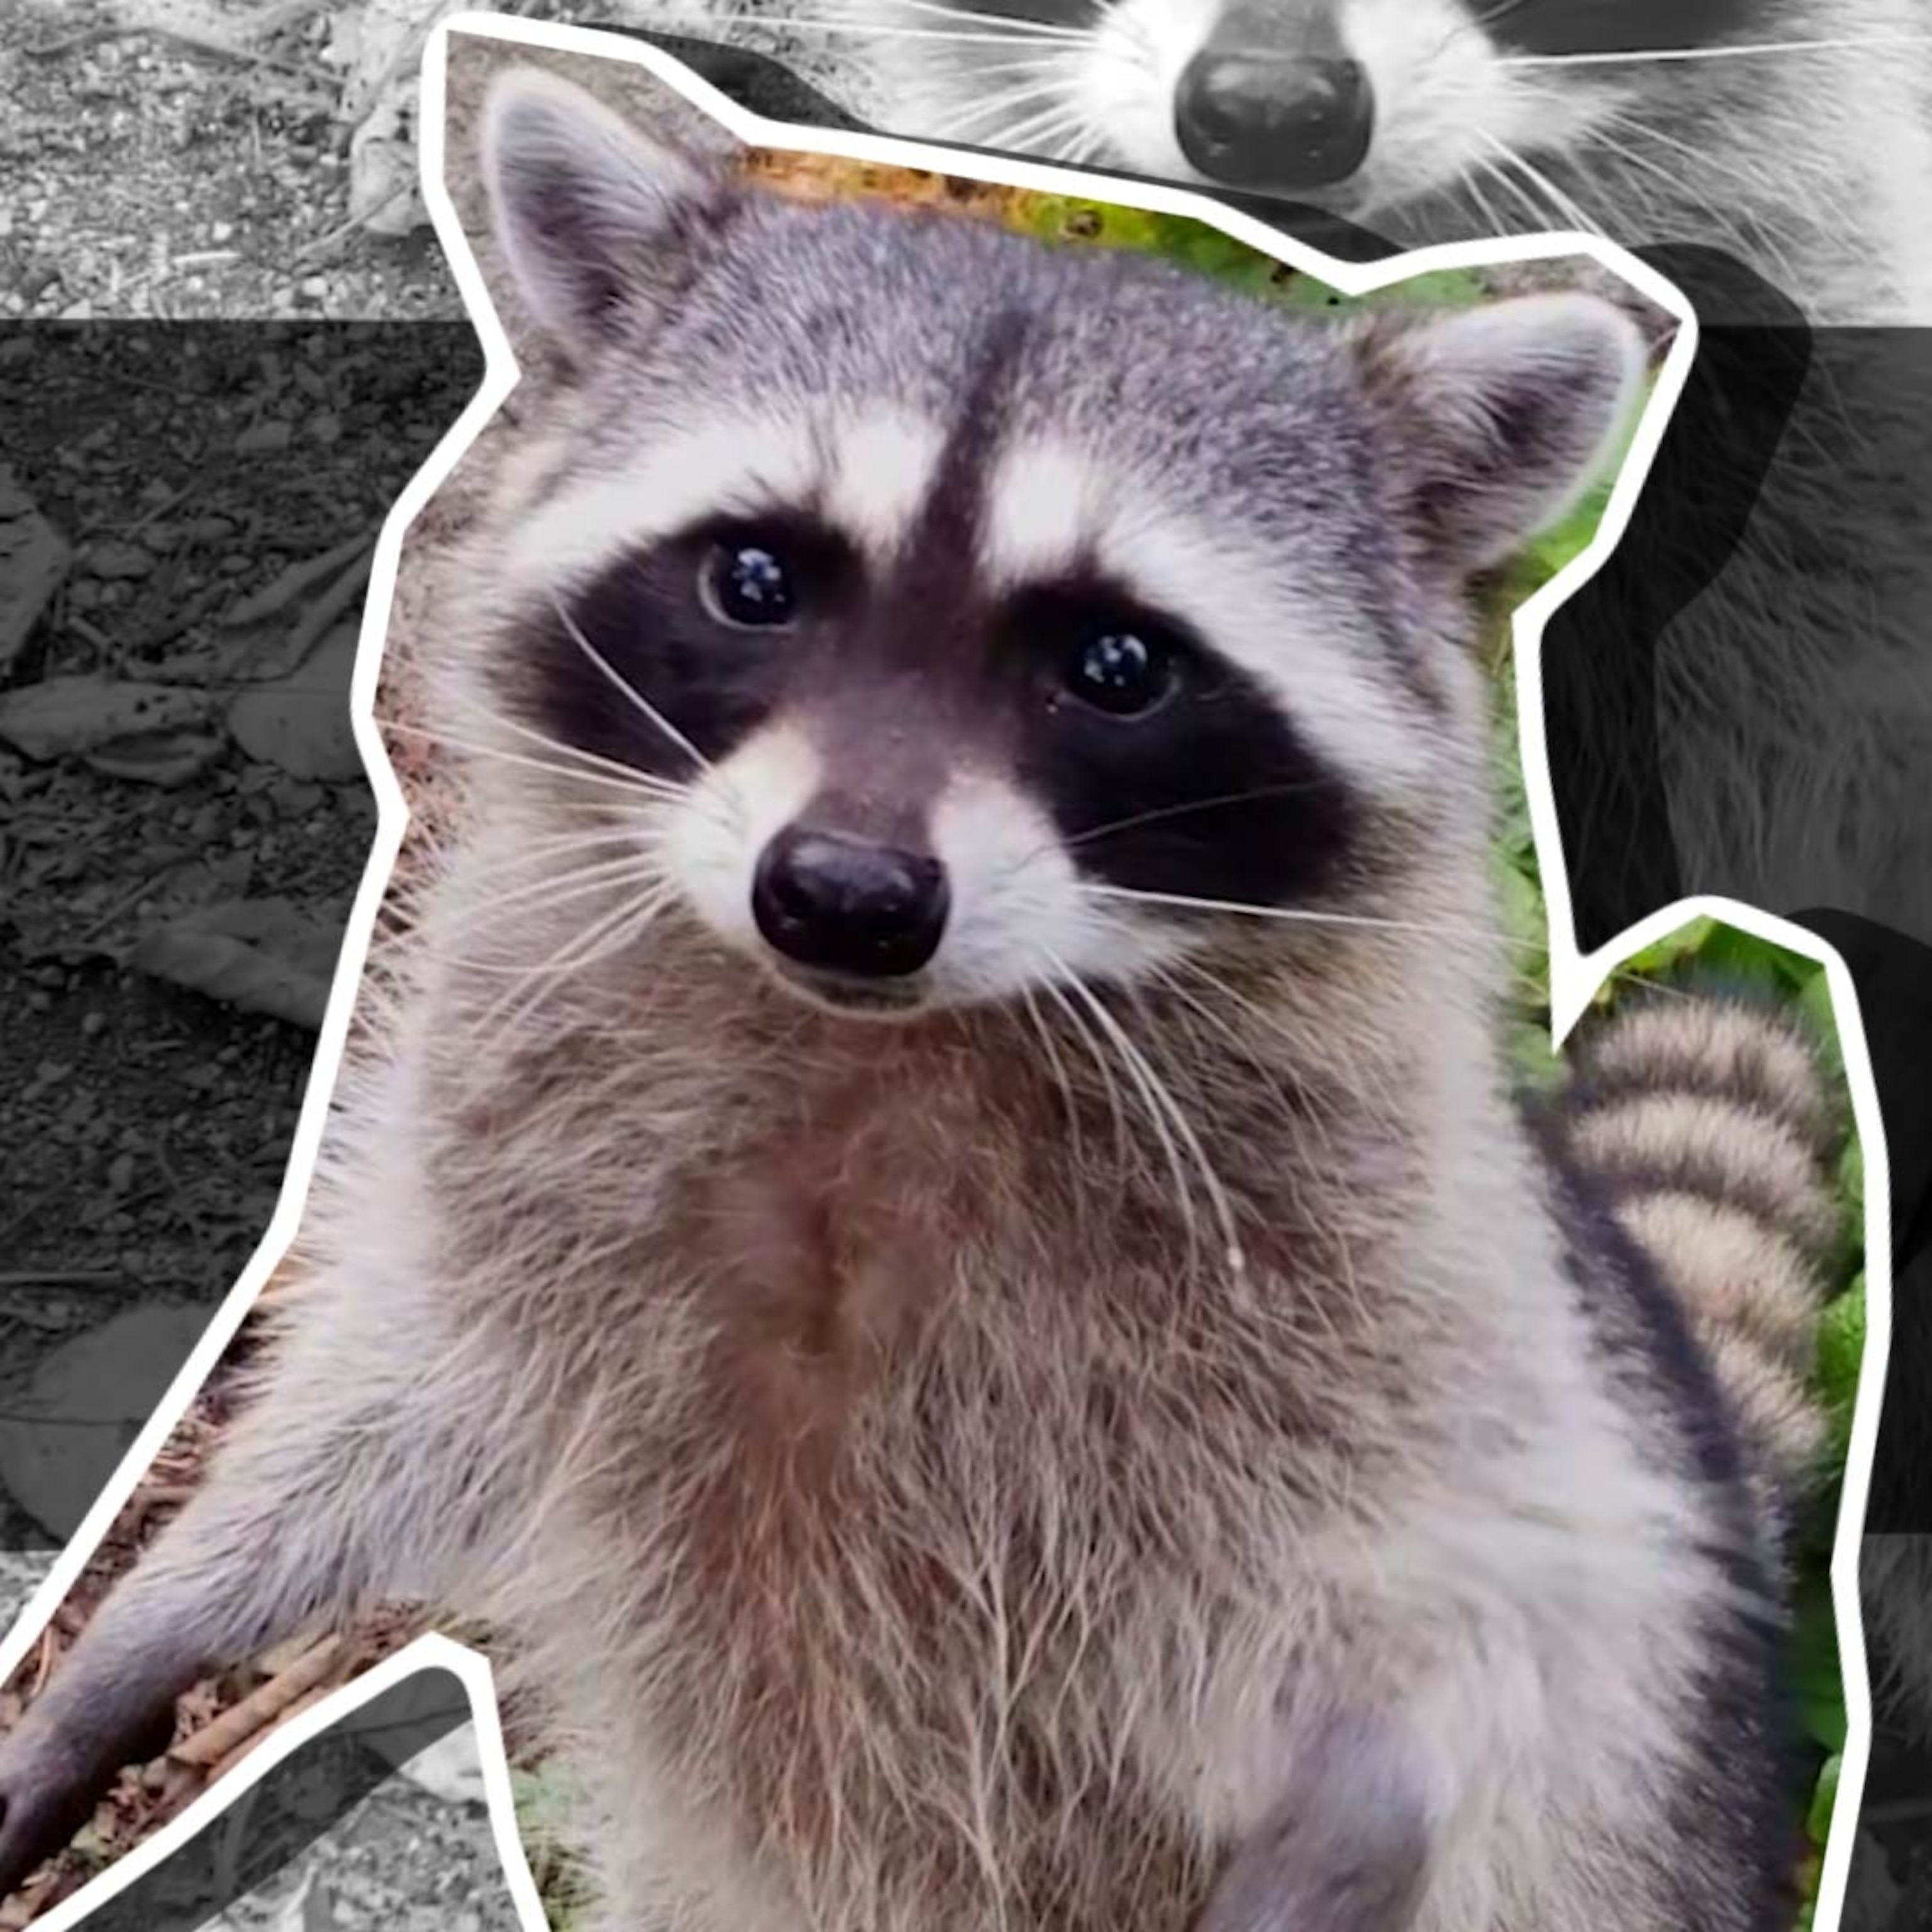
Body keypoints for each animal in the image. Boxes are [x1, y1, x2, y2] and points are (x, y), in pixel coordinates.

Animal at [0, 61, 1850, 1932]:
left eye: (1116, 665)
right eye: (754, 578)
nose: (845, 894)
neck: (868, 1045)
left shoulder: (1420, 1318)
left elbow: (1474, 1626)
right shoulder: (506, 1132)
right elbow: (379, 1396)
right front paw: (142, 1630)